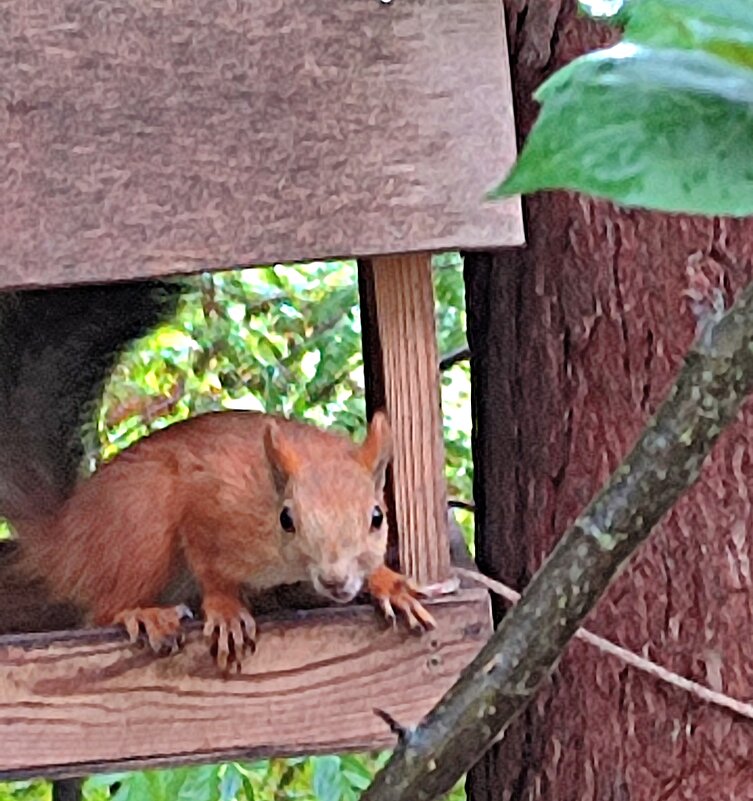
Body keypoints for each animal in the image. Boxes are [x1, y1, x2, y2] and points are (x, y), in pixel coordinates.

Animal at [11, 406, 434, 668]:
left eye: (378, 517)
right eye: (287, 519)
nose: (335, 581)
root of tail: (65, 538)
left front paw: (391, 584)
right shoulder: (208, 501)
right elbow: (209, 564)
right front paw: (226, 609)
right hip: (140, 520)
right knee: (102, 612)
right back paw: (143, 615)